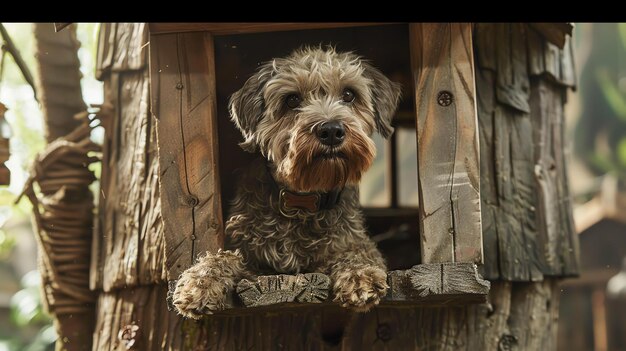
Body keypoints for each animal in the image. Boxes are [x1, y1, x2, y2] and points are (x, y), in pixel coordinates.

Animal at [172, 46, 400, 320]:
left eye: (349, 94)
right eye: (292, 100)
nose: (331, 130)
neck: (303, 200)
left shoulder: (352, 241)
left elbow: (358, 252)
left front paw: (359, 276)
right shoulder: (252, 259)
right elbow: (225, 256)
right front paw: (200, 282)